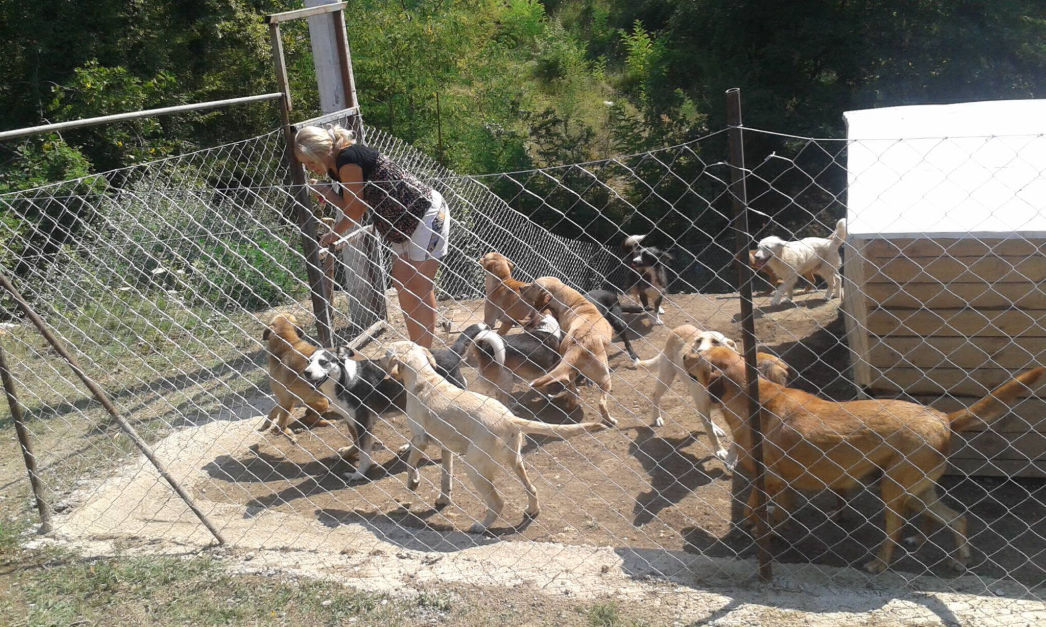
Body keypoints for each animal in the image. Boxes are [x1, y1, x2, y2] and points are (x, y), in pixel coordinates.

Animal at [384, 341, 610, 531]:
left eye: (386, 353)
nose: (378, 358)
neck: (423, 378)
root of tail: (509, 418)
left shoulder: (420, 439)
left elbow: (410, 462)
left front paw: (413, 482)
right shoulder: (445, 448)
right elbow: (445, 478)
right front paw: (443, 499)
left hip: (474, 466)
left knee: (498, 502)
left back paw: (481, 527)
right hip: (515, 460)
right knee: (532, 489)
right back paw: (532, 510)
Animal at [518, 276, 615, 427]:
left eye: (534, 285)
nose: (520, 288)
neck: (573, 302)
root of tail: (578, 344)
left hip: (569, 371)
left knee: (571, 391)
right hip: (605, 377)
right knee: (601, 403)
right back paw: (610, 420)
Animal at [681, 345, 1041, 577]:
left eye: (700, 355)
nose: (683, 354)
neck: (749, 394)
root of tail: (944, 417)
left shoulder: (771, 481)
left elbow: (759, 509)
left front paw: (762, 531)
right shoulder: (772, 481)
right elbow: (763, 510)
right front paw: (763, 528)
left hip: (892, 489)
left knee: (895, 530)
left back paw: (880, 564)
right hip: (917, 490)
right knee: (957, 519)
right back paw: (957, 558)